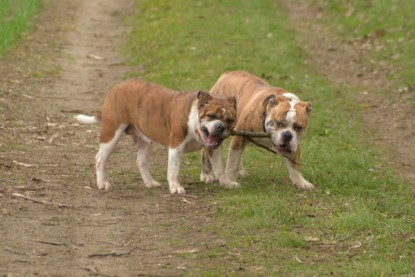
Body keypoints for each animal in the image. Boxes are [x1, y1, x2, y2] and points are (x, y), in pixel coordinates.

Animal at [75, 78, 237, 193]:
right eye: (211, 116)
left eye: (230, 120)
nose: (220, 126)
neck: (195, 121)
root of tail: (116, 87)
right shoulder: (176, 145)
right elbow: (174, 168)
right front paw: (175, 187)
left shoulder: (215, 149)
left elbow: (220, 168)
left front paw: (226, 183)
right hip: (111, 133)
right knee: (100, 159)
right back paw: (102, 183)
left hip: (144, 140)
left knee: (141, 161)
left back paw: (150, 183)